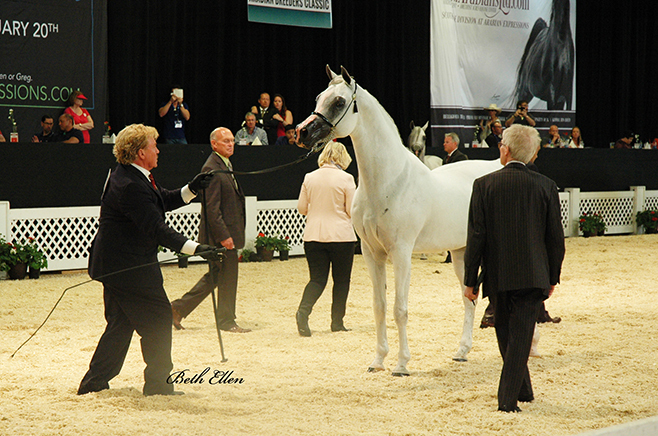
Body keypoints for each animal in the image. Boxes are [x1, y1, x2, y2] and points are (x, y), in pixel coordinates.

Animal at [297, 66, 502, 376]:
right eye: (319, 97)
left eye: (339, 102)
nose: (302, 132)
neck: (389, 182)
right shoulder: (372, 253)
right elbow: (380, 306)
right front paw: (378, 360)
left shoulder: (402, 253)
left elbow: (399, 309)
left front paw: (402, 364)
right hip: (461, 253)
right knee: (470, 297)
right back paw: (462, 351)